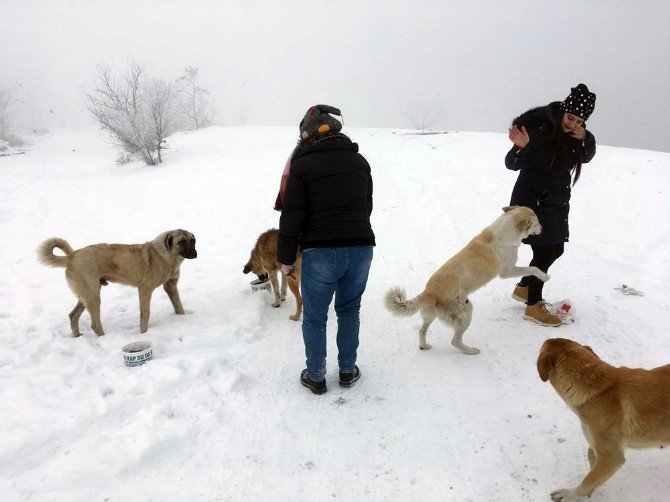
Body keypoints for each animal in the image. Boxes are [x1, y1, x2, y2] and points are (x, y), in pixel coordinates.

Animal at [38, 229, 198, 336]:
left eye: (193, 240)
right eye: (181, 242)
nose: (195, 253)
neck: (167, 256)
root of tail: (72, 256)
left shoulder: (170, 286)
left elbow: (179, 306)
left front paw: (183, 319)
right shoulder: (145, 289)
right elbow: (145, 314)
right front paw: (143, 332)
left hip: (86, 295)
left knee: (73, 315)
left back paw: (77, 336)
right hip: (93, 296)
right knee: (94, 324)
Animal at [388, 206, 552, 354]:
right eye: (537, 222)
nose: (543, 228)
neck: (503, 234)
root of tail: (429, 291)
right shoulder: (508, 271)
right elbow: (533, 268)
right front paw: (545, 276)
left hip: (431, 315)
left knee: (422, 330)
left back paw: (424, 346)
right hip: (466, 311)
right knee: (454, 341)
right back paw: (470, 351)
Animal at [540, 338, 670, 502]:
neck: (598, 390)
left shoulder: (611, 457)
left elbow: (588, 480)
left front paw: (571, 494)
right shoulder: (599, 443)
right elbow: (591, 456)